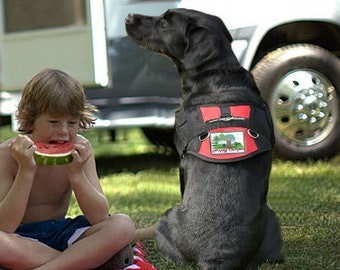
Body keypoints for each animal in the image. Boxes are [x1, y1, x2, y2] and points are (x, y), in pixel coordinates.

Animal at [126, 8, 282, 270]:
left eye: (165, 21)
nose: (128, 17)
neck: (216, 75)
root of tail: (218, 256)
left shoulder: (181, 161)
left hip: (164, 220)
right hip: (274, 223)